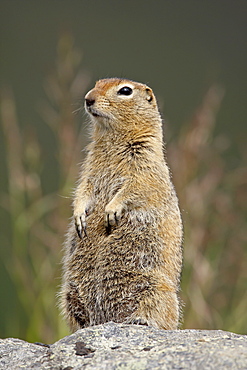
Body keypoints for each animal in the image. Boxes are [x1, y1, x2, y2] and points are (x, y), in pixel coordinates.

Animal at [60, 77, 183, 330]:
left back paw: (140, 321)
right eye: (97, 83)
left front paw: (111, 210)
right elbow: (83, 190)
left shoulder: (145, 164)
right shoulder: (88, 171)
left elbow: (134, 188)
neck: (112, 139)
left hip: (157, 289)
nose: (88, 98)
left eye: (125, 91)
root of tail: (106, 319)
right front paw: (79, 215)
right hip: (70, 293)